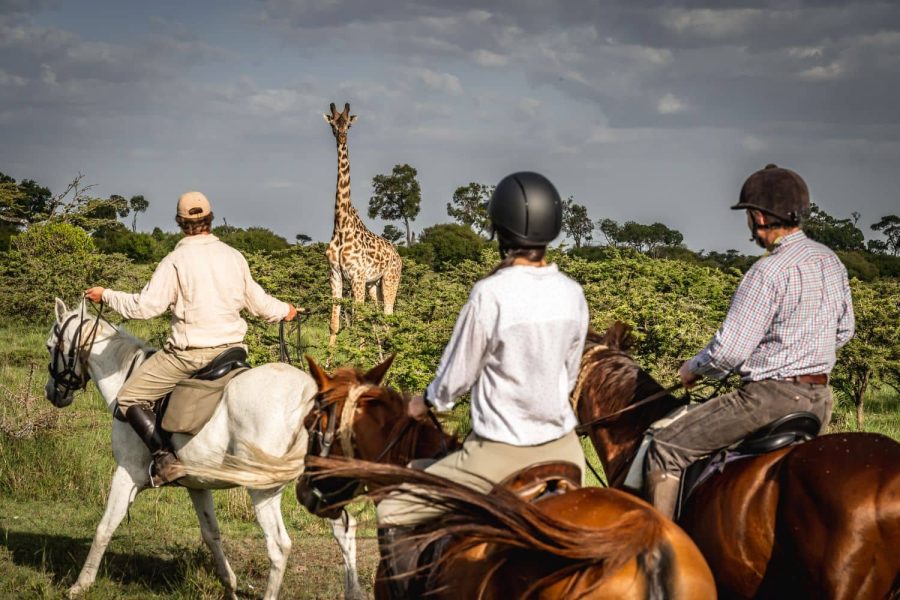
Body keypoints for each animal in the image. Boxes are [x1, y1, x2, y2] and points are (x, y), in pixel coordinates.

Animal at [44, 298, 366, 600]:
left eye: (50, 346)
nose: (53, 393)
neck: (126, 376)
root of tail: (309, 396)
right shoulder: (197, 484)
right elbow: (212, 535)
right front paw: (230, 586)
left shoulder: (127, 473)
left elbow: (105, 527)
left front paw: (80, 585)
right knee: (345, 530)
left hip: (263, 489)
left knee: (279, 546)